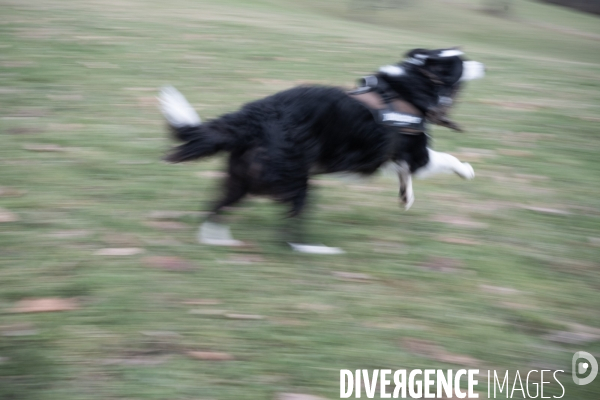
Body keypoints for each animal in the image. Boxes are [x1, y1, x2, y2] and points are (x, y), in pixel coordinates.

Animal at [158, 47, 482, 253]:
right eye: (460, 62)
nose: (484, 65)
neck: (412, 84)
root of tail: (255, 115)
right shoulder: (415, 153)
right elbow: (444, 159)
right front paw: (467, 171)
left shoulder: (393, 156)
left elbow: (404, 174)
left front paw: (406, 196)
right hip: (296, 179)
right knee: (288, 235)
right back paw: (315, 249)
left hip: (242, 176)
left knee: (216, 209)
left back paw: (219, 242)